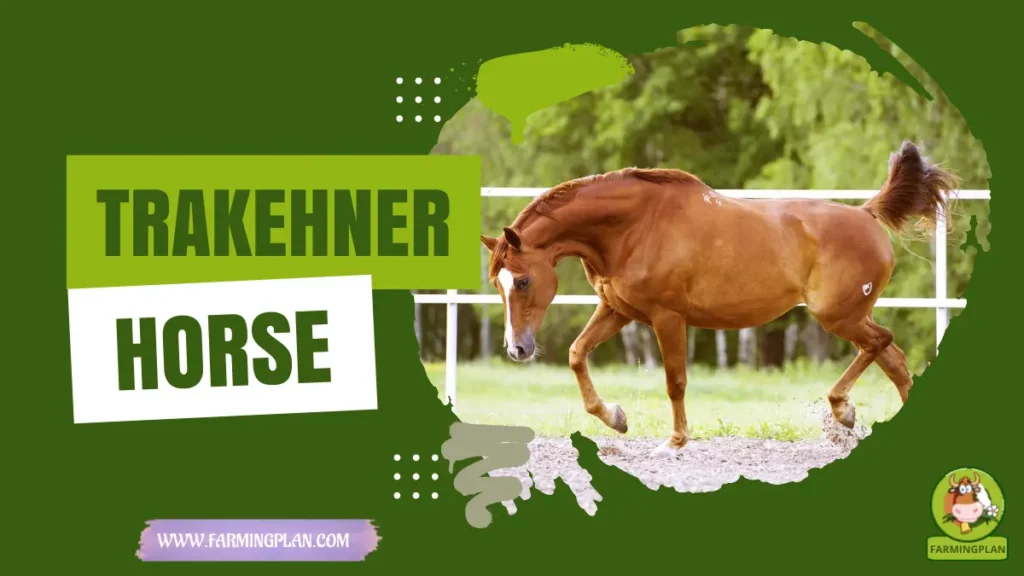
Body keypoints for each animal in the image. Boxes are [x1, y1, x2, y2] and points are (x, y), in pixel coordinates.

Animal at [480, 140, 959, 456]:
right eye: (497, 284)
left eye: (522, 281)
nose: (517, 348)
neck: (632, 226)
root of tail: (866, 214)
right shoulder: (617, 310)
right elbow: (577, 354)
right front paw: (616, 418)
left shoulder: (667, 316)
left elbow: (675, 381)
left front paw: (674, 442)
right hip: (849, 316)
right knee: (891, 356)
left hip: (838, 315)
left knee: (881, 344)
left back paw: (842, 411)